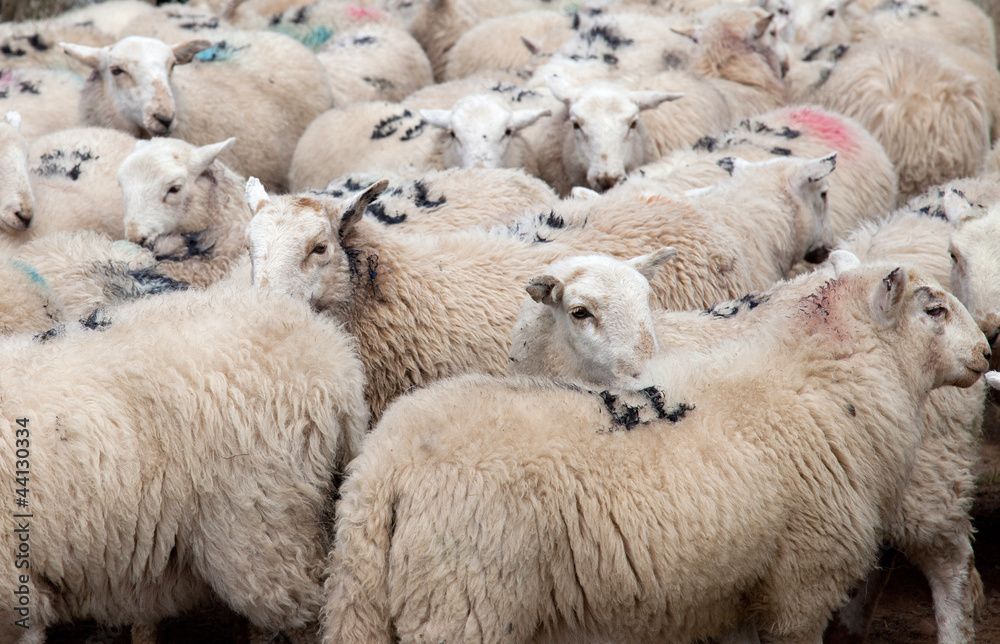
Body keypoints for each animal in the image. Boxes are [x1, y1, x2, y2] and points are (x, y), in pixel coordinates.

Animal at [326, 260, 992, 644]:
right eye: (934, 308)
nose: (987, 350)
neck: (824, 378)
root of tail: (386, 462)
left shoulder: (734, 590)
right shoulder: (800, 586)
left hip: (364, 597)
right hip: (465, 605)